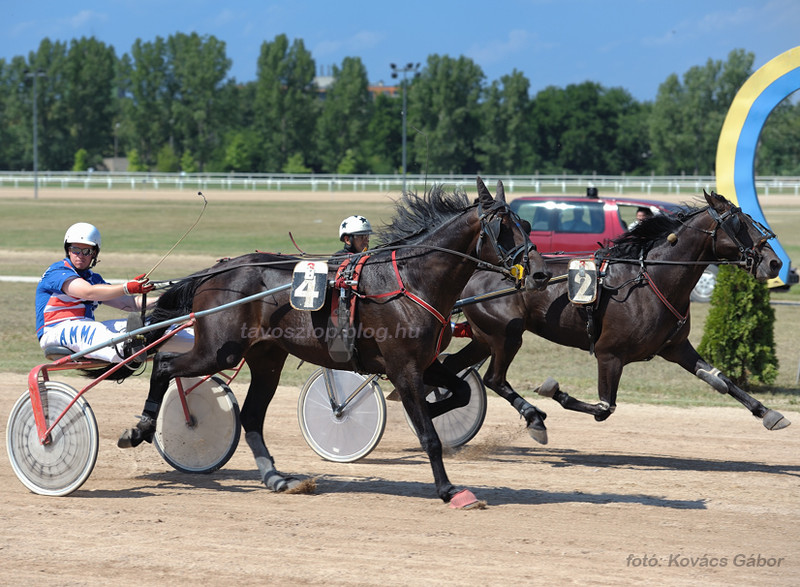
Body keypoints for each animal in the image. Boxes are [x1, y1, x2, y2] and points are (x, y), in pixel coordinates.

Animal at [120, 178, 552, 506]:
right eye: (502, 228)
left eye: (527, 224)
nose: (542, 273)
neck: (411, 280)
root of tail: (216, 271)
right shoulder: (404, 367)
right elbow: (428, 434)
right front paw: (448, 489)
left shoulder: (426, 362)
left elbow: (459, 392)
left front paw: (436, 411)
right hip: (220, 349)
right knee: (165, 365)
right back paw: (140, 428)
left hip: (266, 358)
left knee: (252, 416)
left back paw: (276, 477)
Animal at [444, 191, 788, 444]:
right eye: (739, 224)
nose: (774, 263)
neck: (651, 280)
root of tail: (478, 270)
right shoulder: (609, 354)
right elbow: (603, 408)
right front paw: (554, 391)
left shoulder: (676, 347)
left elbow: (721, 379)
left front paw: (769, 413)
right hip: (506, 335)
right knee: (494, 379)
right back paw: (534, 419)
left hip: (485, 337)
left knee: (452, 367)